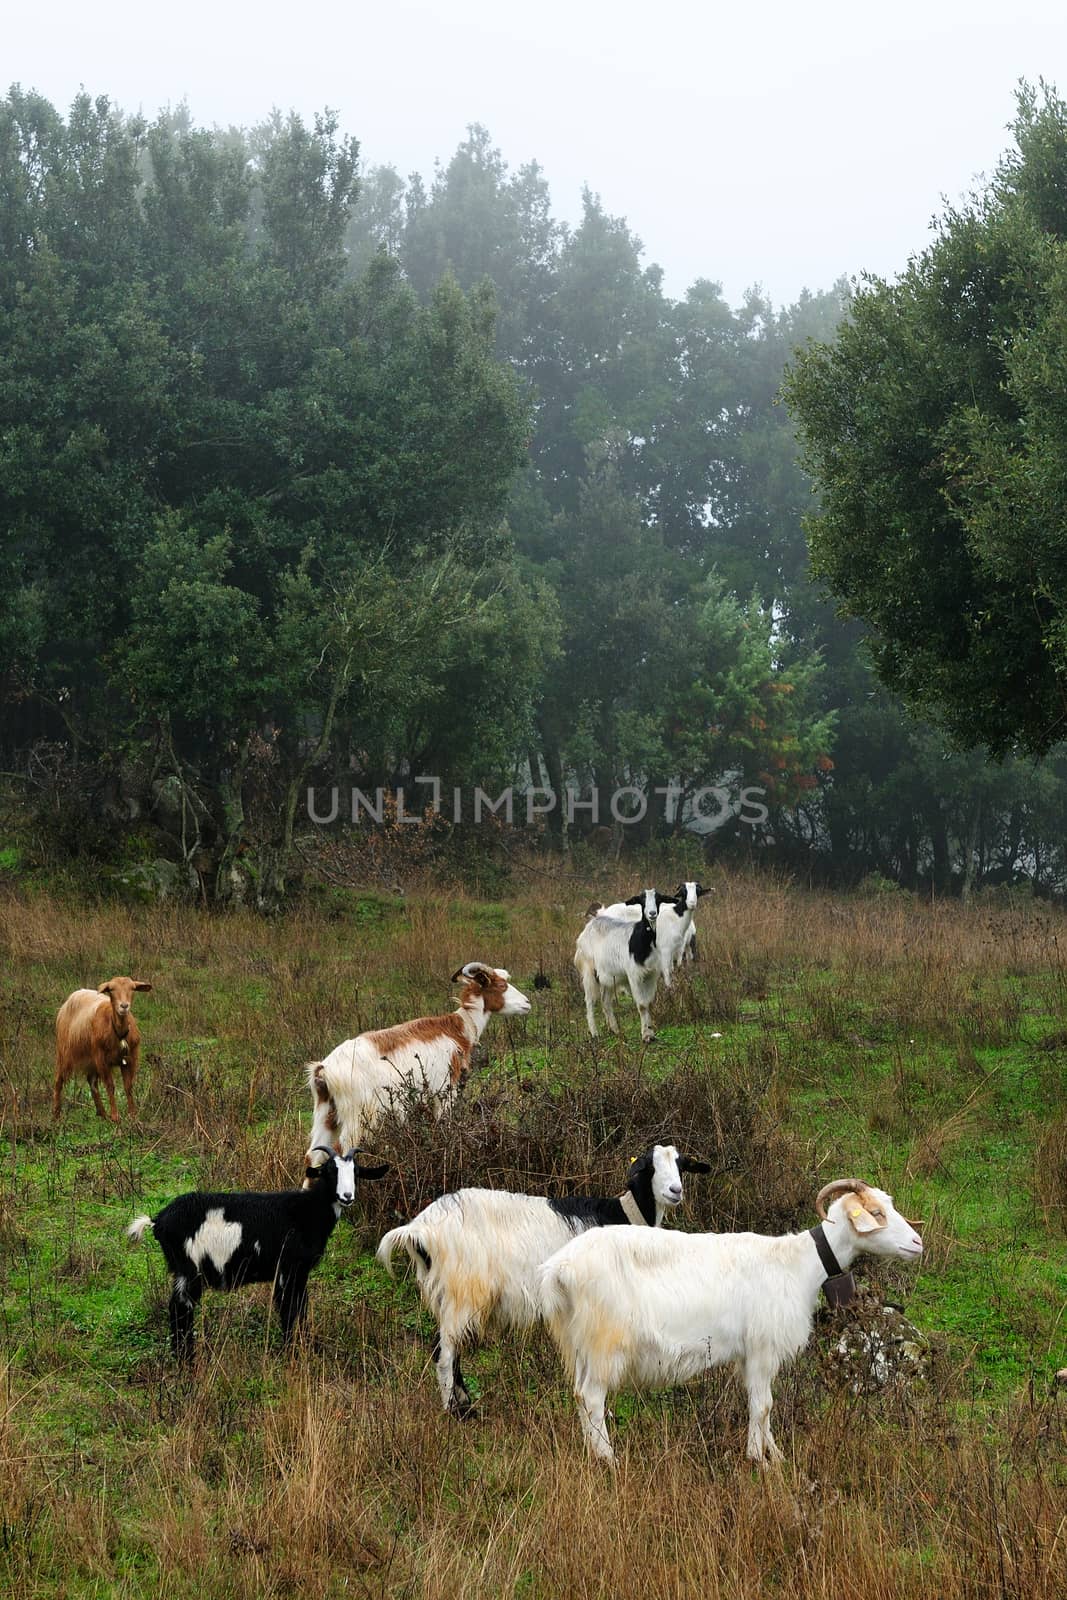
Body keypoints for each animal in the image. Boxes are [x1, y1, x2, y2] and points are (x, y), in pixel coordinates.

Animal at [52, 972, 153, 1126]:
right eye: (111, 990)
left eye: (133, 988)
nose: (124, 1006)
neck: (119, 1033)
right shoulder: (102, 1059)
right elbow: (110, 1086)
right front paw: (116, 1116)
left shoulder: (130, 1059)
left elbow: (128, 1086)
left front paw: (133, 1116)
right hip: (65, 1052)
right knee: (59, 1080)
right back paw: (56, 1116)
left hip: (91, 1059)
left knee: (92, 1081)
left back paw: (103, 1114)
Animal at [127, 1145, 390, 1356]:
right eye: (329, 1171)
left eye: (356, 1172)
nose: (347, 1196)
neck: (305, 1212)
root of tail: (158, 1221)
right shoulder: (290, 1267)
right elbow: (289, 1308)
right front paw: (292, 1352)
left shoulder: (295, 1271)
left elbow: (300, 1307)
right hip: (189, 1268)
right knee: (180, 1309)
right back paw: (185, 1359)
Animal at [303, 960, 531, 1164]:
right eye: (501, 985)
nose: (527, 1003)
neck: (458, 1028)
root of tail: (323, 1070)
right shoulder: (445, 1092)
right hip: (357, 1117)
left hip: (326, 1114)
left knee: (313, 1156)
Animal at [375, 1145, 710, 1420]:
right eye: (650, 1167)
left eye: (681, 1165)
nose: (675, 1190)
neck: (626, 1216)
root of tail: (420, 1229)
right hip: (463, 1291)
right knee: (444, 1354)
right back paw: (454, 1413)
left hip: (447, 1294)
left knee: (450, 1349)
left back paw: (466, 1405)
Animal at [543, 1177, 927, 1465]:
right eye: (876, 1212)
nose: (917, 1242)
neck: (797, 1264)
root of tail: (560, 1269)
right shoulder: (763, 1347)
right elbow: (763, 1405)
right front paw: (758, 1460)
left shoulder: (749, 1354)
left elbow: (762, 1406)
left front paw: (775, 1455)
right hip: (604, 1343)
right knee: (592, 1397)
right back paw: (609, 1459)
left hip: (579, 1343)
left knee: (579, 1395)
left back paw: (592, 1453)